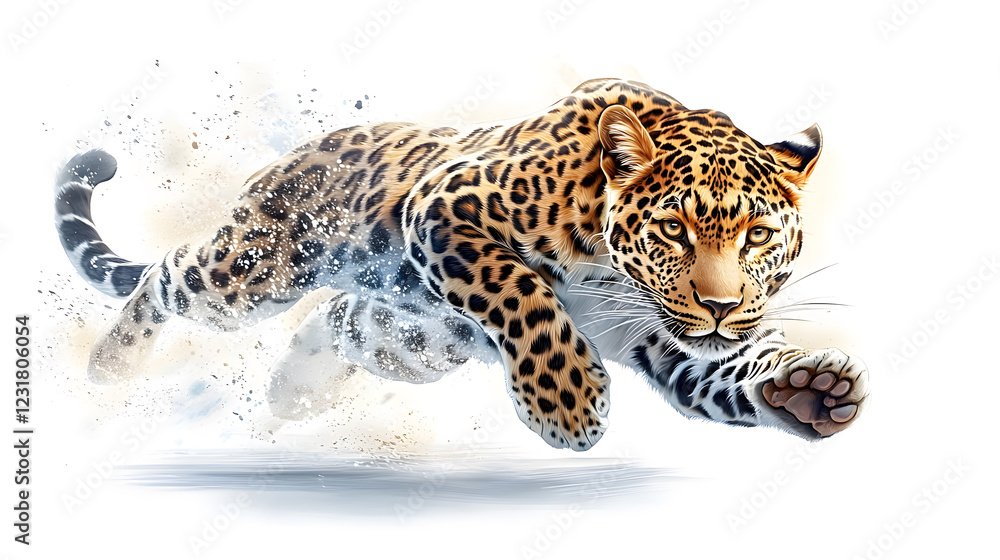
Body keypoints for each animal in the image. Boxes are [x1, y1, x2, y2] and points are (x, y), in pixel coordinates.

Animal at [55, 78, 869, 451]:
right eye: (673, 228)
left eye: (758, 236)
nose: (723, 308)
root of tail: (298, 156)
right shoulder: (444, 207)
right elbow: (521, 294)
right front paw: (567, 405)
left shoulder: (674, 347)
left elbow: (733, 368)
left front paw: (812, 391)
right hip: (252, 273)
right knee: (167, 274)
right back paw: (109, 371)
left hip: (404, 342)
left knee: (340, 321)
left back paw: (286, 399)